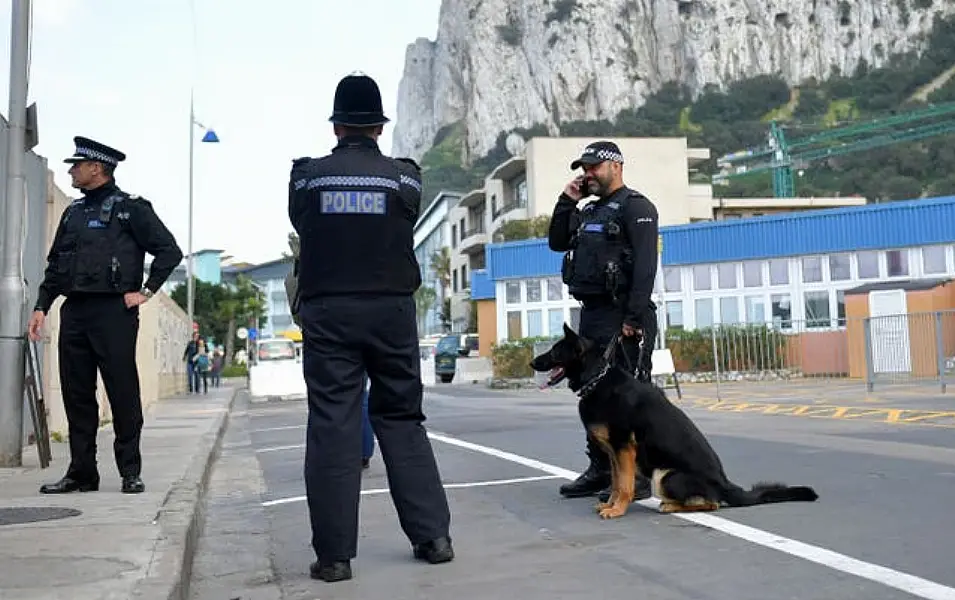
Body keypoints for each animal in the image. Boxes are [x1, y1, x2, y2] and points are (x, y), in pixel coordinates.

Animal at [528, 326, 816, 516]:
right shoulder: (613, 453)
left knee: (713, 504)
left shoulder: (623, 448)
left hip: (665, 476)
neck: (597, 379)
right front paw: (610, 504)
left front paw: (617, 509)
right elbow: (616, 483)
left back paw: (669, 506)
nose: (531, 362)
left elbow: (624, 485)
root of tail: (726, 484)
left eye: (554, 351)